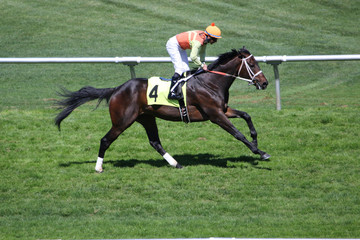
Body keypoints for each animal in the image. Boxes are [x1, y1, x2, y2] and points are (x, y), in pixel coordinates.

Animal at [55, 47, 270, 172]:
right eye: (252, 64)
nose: (264, 83)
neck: (210, 82)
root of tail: (116, 89)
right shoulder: (215, 115)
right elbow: (237, 134)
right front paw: (260, 152)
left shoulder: (222, 110)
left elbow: (247, 116)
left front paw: (255, 139)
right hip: (122, 121)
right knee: (105, 140)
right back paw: (98, 168)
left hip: (147, 118)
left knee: (155, 142)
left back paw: (176, 163)